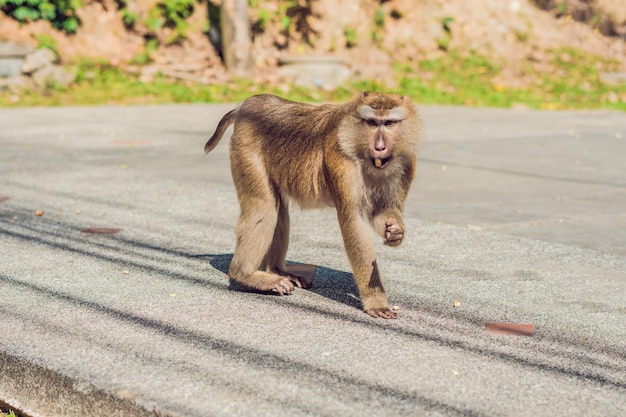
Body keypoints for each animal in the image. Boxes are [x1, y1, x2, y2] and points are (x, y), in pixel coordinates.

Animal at [205, 92, 420, 318]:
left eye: (389, 123)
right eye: (372, 123)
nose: (379, 147)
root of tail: (246, 105)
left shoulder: (407, 163)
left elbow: (383, 210)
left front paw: (395, 232)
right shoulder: (342, 162)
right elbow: (353, 221)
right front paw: (375, 301)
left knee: (279, 209)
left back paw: (276, 270)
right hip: (246, 148)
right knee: (265, 207)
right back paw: (246, 274)